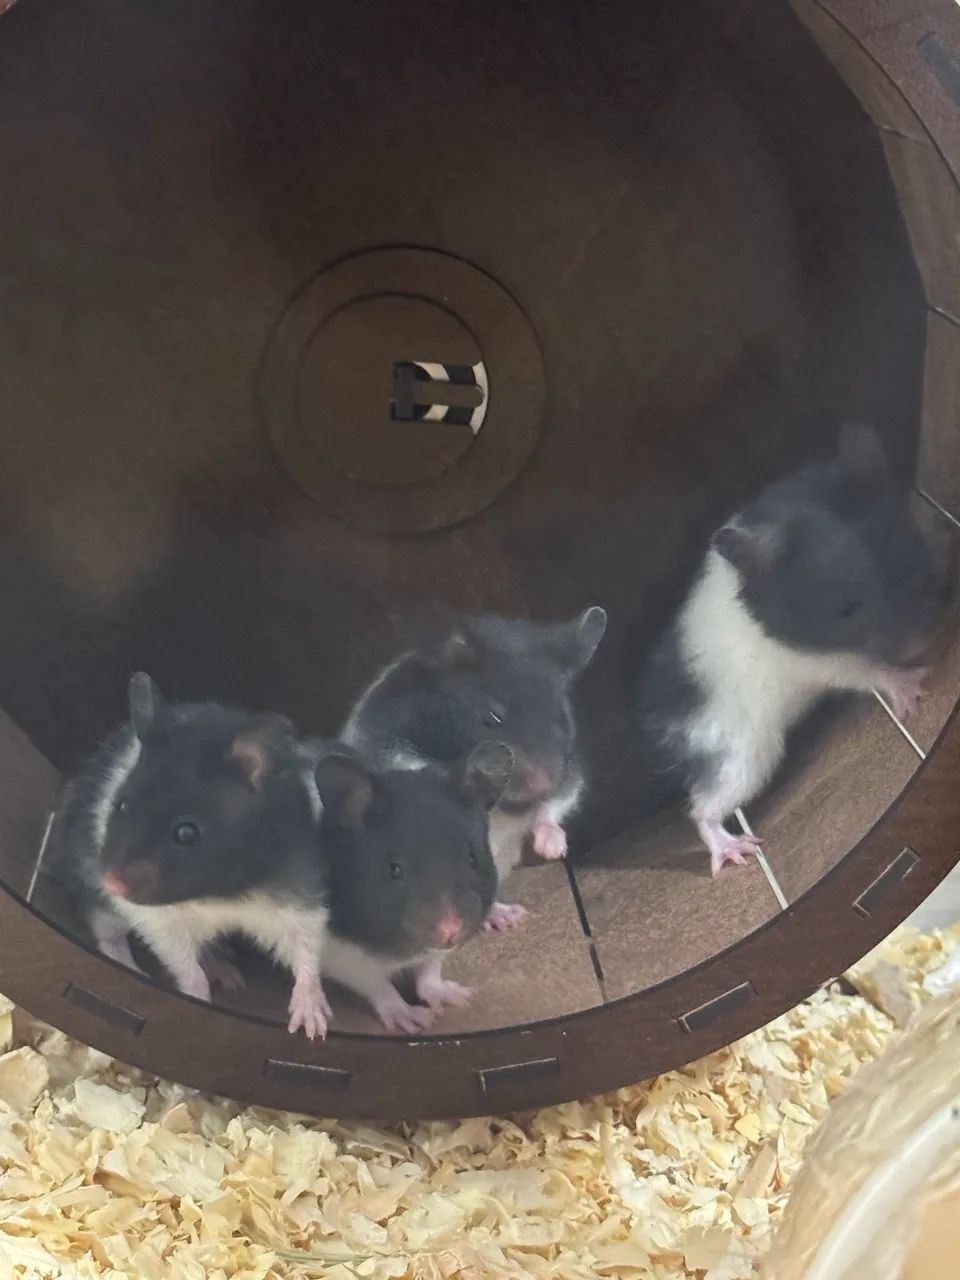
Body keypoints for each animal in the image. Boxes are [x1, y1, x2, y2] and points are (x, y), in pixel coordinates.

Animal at [51, 672, 332, 1038]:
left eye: (187, 833)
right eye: (122, 804)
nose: (111, 884)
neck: (217, 890)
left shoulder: (296, 892)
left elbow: (305, 950)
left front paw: (313, 1027)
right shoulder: (160, 921)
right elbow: (185, 964)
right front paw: (198, 1002)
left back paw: (227, 972)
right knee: (109, 938)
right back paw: (142, 972)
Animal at [310, 741, 512, 1033]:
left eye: (473, 858)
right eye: (394, 870)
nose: (449, 931)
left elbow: (430, 971)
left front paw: (459, 997)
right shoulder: (336, 949)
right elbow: (376, 983)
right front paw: (416, 1020)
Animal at [341, 607, 607, 930]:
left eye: (562, 717)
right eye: (492, 716)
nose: (541, 785)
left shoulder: (568, 774)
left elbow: (556, 805)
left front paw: (552, 849)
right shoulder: (385, 747)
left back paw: (510, 917)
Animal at [635, 423, 953, 876]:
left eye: (912, 561)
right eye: (846, 610)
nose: (923, 640)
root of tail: (654, 725)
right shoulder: (817, 661)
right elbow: (868, 670)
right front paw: (914, 687)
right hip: (742, 753)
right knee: (701, 809)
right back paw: (735, 851)